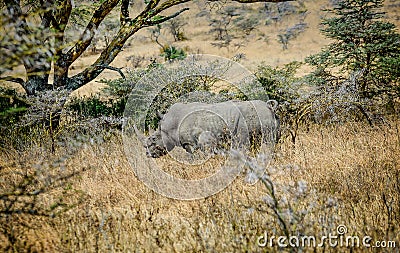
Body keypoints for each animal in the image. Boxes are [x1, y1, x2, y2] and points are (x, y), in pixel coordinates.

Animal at [143, 99, 278, 157]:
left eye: (153, 139)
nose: (147, 154)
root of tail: (269, 107)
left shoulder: (191, 143)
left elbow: (193, 157)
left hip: (258, 117)